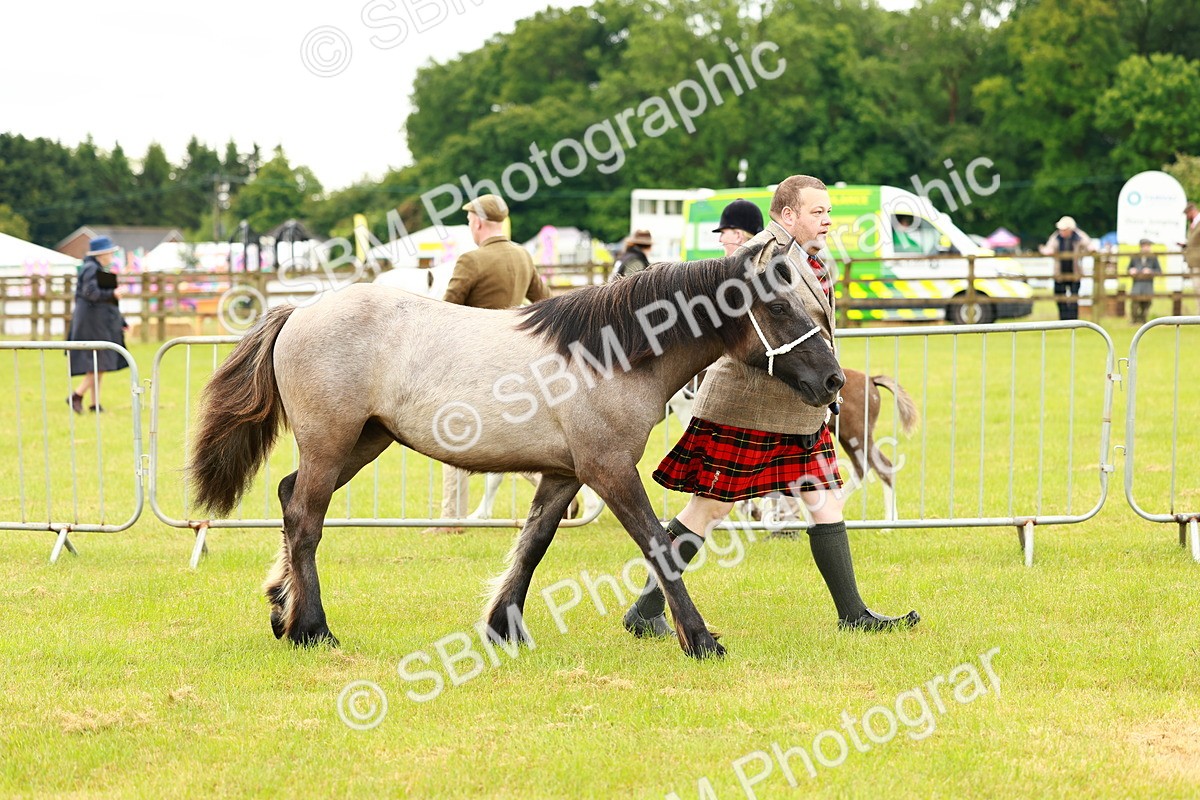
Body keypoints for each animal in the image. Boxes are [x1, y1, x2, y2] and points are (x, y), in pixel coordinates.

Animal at [186, 243, 844, 659]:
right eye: (779, 306)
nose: (834, 381)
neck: (611, 354)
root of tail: (300, 309)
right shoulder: (609, 471)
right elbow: (659, 544)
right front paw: (701, 640)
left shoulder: (564, 474)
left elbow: (533, 544)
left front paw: (503, 629)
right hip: (332, 442)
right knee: (304, 518)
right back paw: (311, 629)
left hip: (363, 442)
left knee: (288, 496)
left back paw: (281, 610)